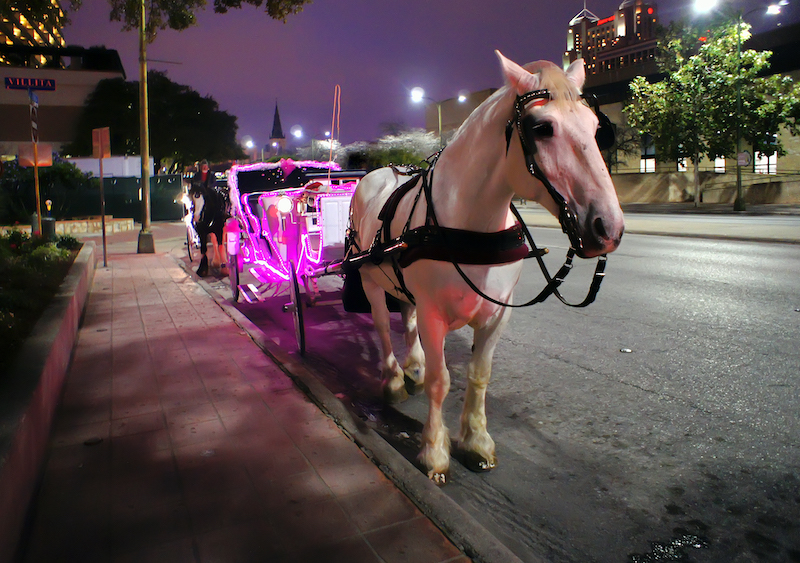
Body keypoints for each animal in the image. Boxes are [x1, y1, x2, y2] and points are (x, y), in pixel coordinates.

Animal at [350, 51, 624, 484]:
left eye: (597, 128)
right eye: (541, 127)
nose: (608, 228)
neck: (468, 225)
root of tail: (378, 173)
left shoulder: (496, 315)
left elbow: (478, 377)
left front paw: (476, 442)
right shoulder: (433, 314)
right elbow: (441, 381)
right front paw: (434, 451)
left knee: (406, 317)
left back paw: (413, 366)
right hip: (369, 279)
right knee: (380, 325)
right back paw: (394, 379)